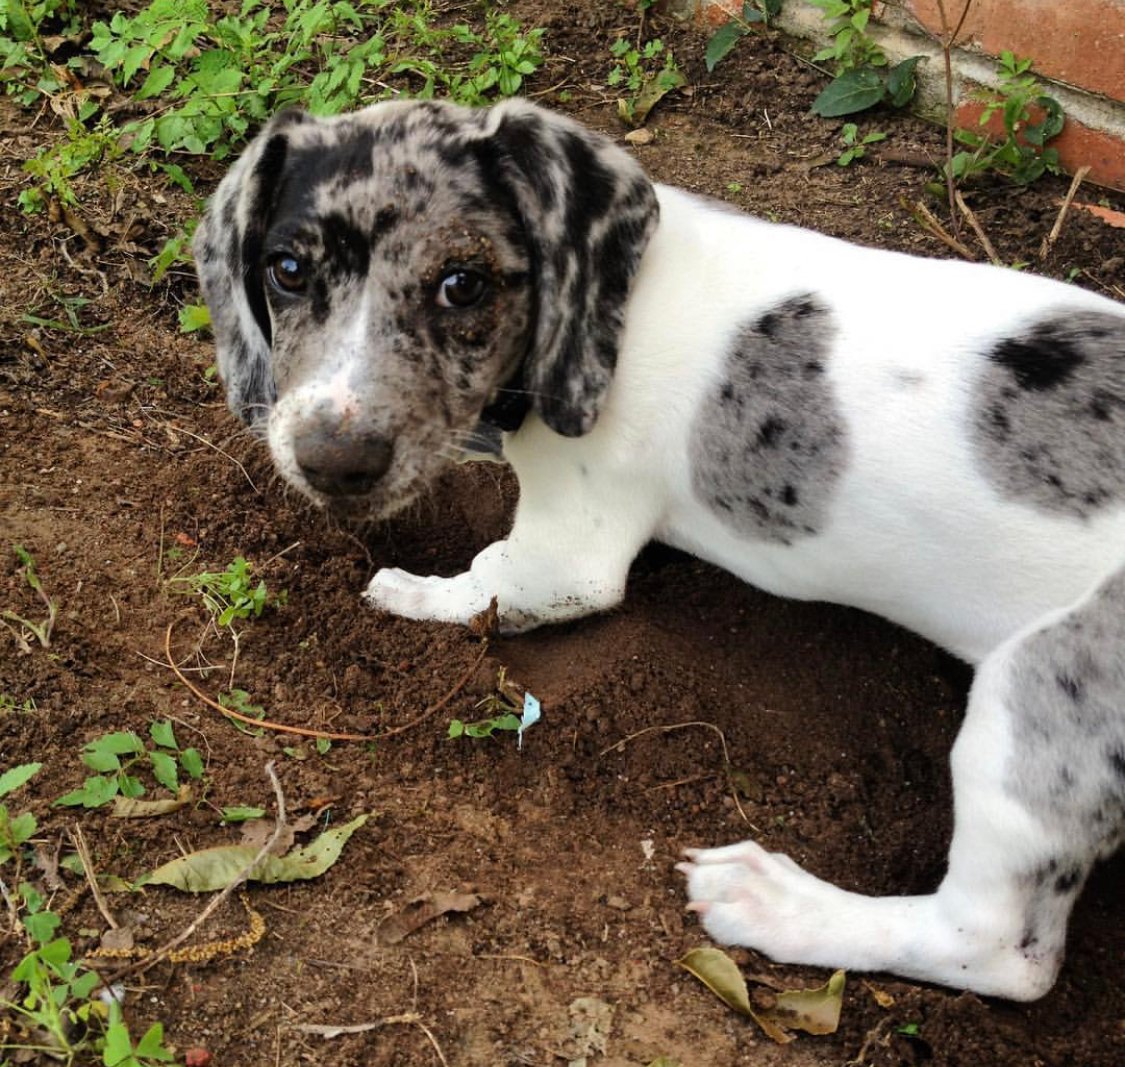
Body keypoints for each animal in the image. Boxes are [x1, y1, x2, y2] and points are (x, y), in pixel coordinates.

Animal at [193, 97, 1125, 999]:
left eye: (463, 284)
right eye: (286, 270)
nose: (333, 460)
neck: (614, 312)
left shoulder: (565, 552)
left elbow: (482, 583)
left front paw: (406, 591)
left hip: (1039, 695)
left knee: (994, 948)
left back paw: (779, 902)